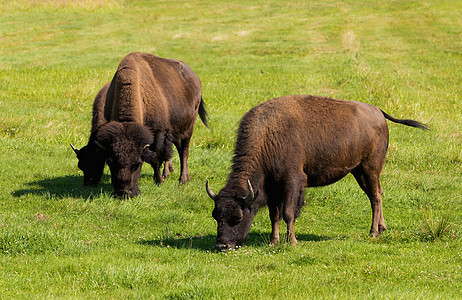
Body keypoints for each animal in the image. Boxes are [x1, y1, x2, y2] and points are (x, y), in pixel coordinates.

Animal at [71, 51, 208, 197]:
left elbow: (155, 159)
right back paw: (169, 174)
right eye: (110, 162)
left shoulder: (158, 135)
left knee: (184, 151)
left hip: (188, 128)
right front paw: (160, 178)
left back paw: (183, 179)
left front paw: (159, 181)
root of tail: (195, 77)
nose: (124, 193)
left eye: (137, 164)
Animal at [206, 95, 426, 250]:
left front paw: (293, 242)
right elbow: (274, 215)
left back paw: (373, 233)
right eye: (216, 216)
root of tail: (377, 111)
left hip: (369, 168)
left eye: (237, 218)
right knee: (377, 193)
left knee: (375, 197)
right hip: (359, 171)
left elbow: (288, 213)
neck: (268, 136)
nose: (222, 245)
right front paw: (273, 241)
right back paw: (381, 228)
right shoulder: (273, 188)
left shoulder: (293, 181)